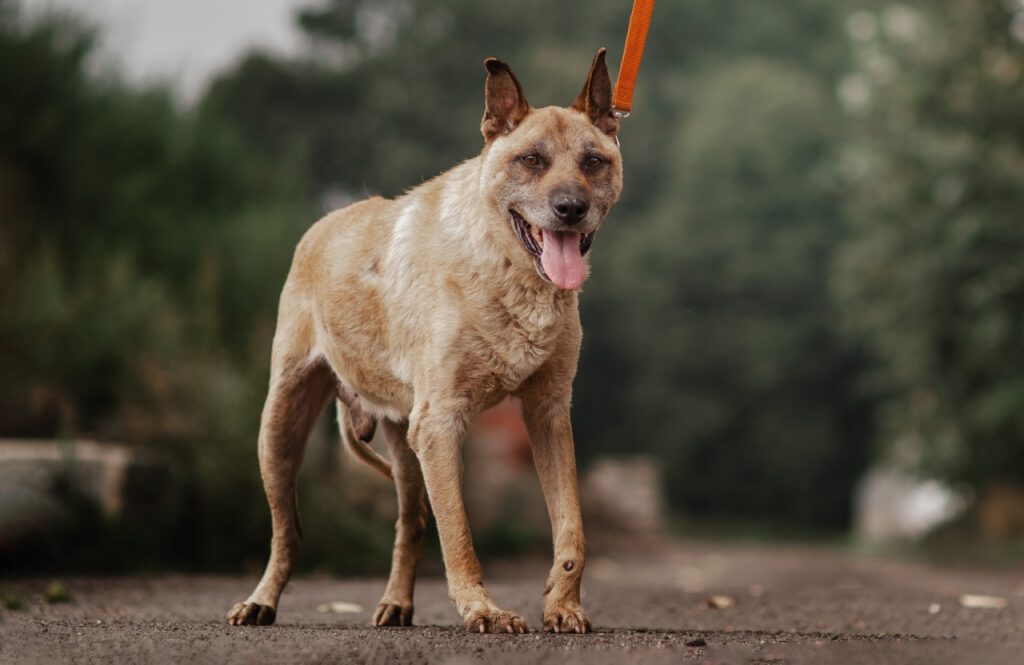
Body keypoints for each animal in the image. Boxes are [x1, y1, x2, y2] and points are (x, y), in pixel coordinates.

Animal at [227, 47, 618, 631]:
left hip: (404, 445)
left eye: (594, 161)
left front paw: (563, 606)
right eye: (531, 160)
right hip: (280, 426)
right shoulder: (440, 423)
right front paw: (483, 610)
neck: (505, 268)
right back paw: (261, 601)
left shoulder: (547, 412)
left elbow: (571, 525)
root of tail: (324, 224)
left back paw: (397, 603)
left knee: (409, 522)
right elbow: (459, 535)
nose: (571, 208)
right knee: (288, 532)